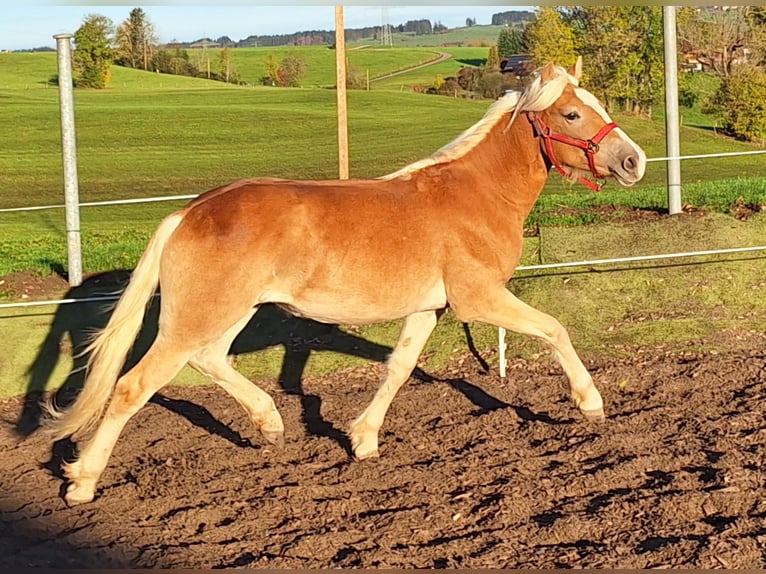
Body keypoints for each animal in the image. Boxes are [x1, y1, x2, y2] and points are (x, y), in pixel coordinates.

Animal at [46, 59, 648, 508]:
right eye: (571, 112)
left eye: (601, 106)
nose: (634, 161)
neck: (474, 194)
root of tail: (190, 212)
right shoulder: (478, 300)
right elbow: (555, 329)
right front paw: (591, 403)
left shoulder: (428, 308)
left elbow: (399, 367)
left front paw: (363, 439)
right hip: (199, 315)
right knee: (133, 386)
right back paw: (82, 483)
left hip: (230, 312)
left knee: (209, 360)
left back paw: (269, 424)